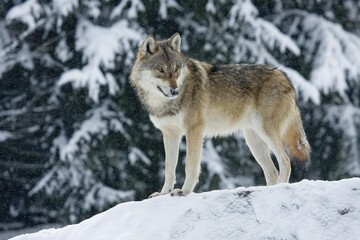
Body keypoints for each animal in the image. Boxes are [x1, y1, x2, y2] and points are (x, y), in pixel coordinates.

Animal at [129, 32, 310, 197]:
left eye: (175, 69)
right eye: (160, 70)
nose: (175, 90)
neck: (165, 103)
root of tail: (285, 76)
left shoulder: (194, 129)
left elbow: (190, 165)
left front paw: (184, 191)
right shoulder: (170, 135)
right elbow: (169, 169)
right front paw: (163, 193)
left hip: (267, 133)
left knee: (285, 161)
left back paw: (279, 188)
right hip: (253, 141)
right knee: (272, 171)